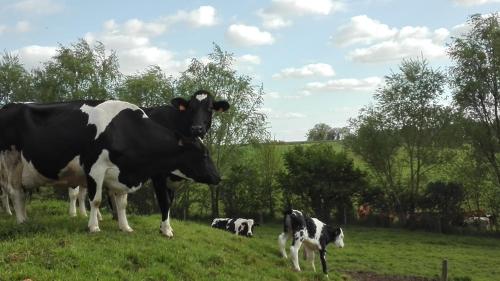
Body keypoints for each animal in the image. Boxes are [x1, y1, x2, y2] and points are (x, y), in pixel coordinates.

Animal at [0, 98, 221, 232]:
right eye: (204, 154)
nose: (218, 177)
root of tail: (10, 105)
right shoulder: (95, 168)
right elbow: (96, 200)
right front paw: (93, 227)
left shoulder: (122, 172)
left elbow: (121, 203)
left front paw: (125, 227)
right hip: (11, 161)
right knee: (15, 192)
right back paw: (20, 220)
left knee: (21, 193)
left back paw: (25, 218)